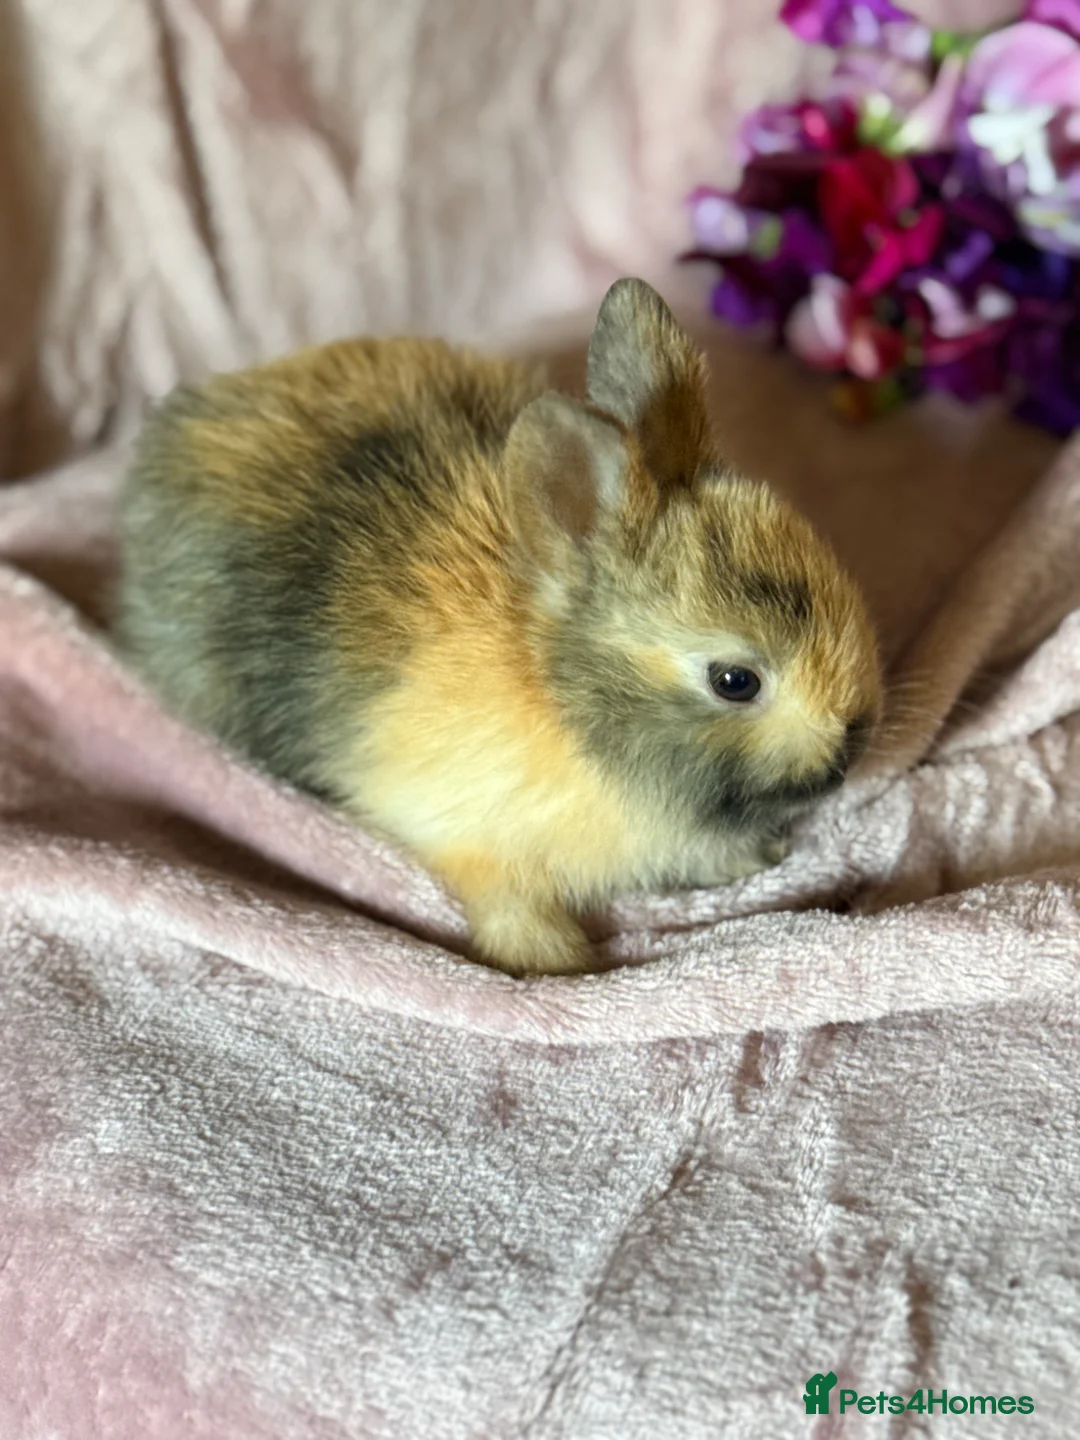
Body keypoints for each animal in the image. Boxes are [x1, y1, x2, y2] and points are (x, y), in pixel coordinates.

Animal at [117, 277, 883, 976]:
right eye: (734, 680)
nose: (853, 745)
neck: (558, 685)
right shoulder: (467, 839)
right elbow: (507, 903)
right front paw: (559, 962)